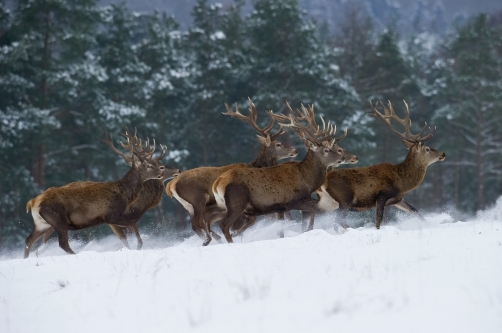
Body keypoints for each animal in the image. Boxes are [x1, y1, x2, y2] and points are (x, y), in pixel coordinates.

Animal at [24, 130, 167, 256]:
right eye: (149, 165)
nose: (161, 173)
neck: (125, 195)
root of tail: (32, 202)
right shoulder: (110, 215)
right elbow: (132, 226)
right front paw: (139, 246)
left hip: (42, 223)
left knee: (29, 240)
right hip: (59, 220)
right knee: (62, 244)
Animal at [165, 100, 298, 245]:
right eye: (278, 144)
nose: (295, 150)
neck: (257, 166)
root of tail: (171, 184)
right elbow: (247, 223)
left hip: (188, 206)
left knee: (196, 225)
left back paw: (212, 239)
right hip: (198, 199)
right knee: (200, 222)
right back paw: (212, 239)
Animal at [213, 102, 350, 243]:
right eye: (326, 150)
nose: (342, 158)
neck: (306, 179)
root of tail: (217, 183)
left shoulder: (279, 208)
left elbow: (282, 231)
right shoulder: (292, 201)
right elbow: (315, 211)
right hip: (237, 202)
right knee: (224, 224)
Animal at [320, 99, 446, 228]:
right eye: (427, 149)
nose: (443, 153)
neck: (402, 182)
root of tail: (324, 181)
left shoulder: (397, 199)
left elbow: (415, 211)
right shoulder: (382, 195)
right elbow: (378, 221)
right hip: (345, 198)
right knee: (339, 220)